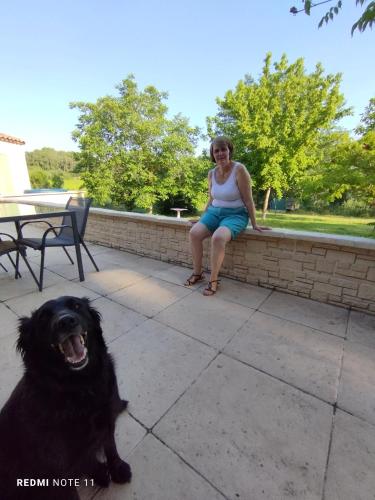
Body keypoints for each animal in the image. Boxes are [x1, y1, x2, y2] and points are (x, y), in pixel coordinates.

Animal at [0, 294, 132, 498]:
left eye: (76, 306)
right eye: (43, 317)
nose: (67, 321)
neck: (80, 385)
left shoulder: (106, 418)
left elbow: (111, 447)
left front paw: (118, 468)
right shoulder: (56, 465)